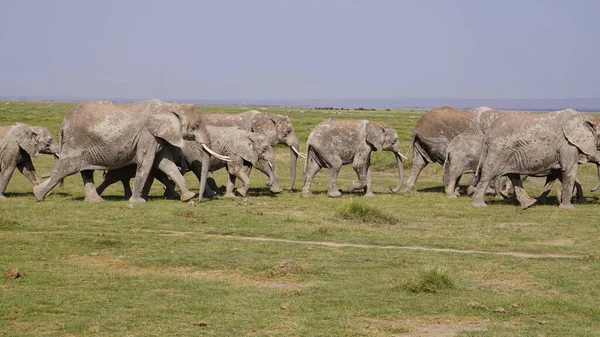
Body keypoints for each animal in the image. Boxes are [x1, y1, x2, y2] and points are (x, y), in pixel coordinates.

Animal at [33, 97, 230, 202]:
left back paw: (95, 201)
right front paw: (138, 201)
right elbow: (147, 162)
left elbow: (165, 163)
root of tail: (63, 123)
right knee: (67, 168)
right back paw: (38, 195)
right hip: (76, 142)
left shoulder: (158, 136)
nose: (199, 199)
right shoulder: (147, 135)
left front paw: (187, 197)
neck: (170, 105)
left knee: (85, 171)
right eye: (195, 126)